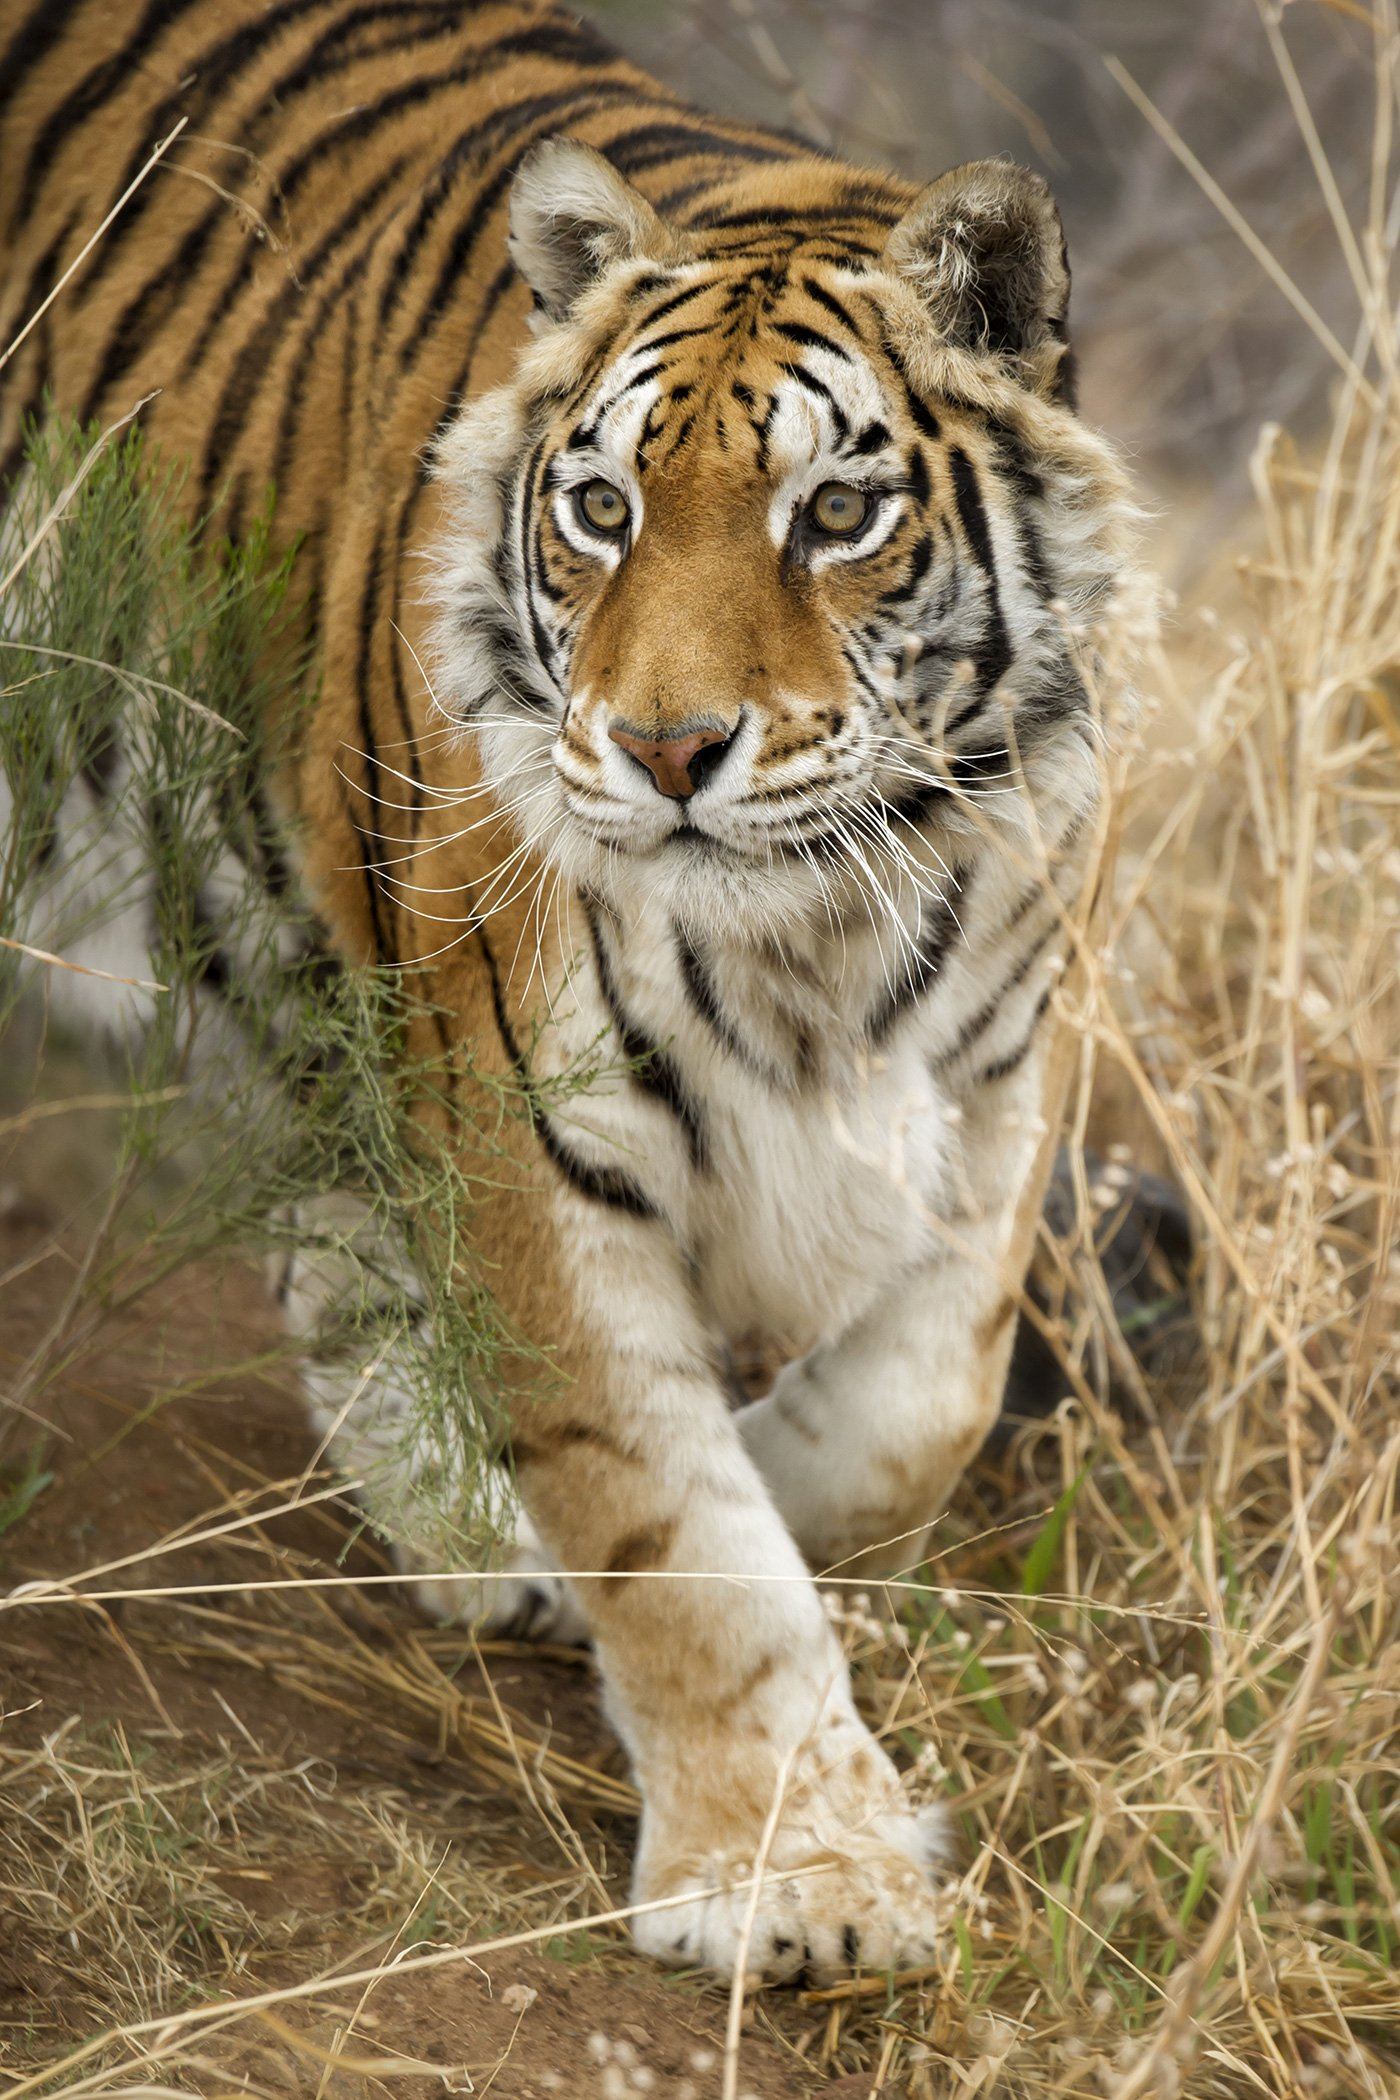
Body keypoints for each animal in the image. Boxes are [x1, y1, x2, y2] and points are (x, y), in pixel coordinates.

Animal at [0, 0, 1150, 1982]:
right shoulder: (525, 1123)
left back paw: (462, 1519)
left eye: (836, 511)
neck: (824, 928)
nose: (668, 748)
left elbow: (923, 1407)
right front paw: (797, 1879)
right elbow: (674, 1524)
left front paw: (776, 1481)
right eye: (604, 509)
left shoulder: (993, 1078)